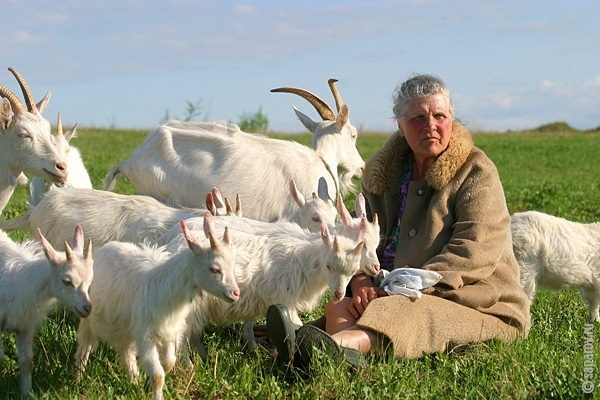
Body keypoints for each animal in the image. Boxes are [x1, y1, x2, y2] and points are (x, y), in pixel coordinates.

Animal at [0, 225, 93, 396]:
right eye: (67, 281)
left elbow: (27, 361)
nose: (87, 308)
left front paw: (26, 393)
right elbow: (0, 357)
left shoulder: (25, 326)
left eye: (90, 280)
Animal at [76, 214, 240, 400]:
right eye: (214, 269)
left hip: (124, 326)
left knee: (126, 352)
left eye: (232, 266)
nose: (235, 293)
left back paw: (134, 382)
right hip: (89, 316)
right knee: (85, 346)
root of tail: (104, 249)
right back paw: (77, 379)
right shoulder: (146, 335)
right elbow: (158, 375)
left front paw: (147, 384)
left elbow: (168, 363)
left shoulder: (169, 332)